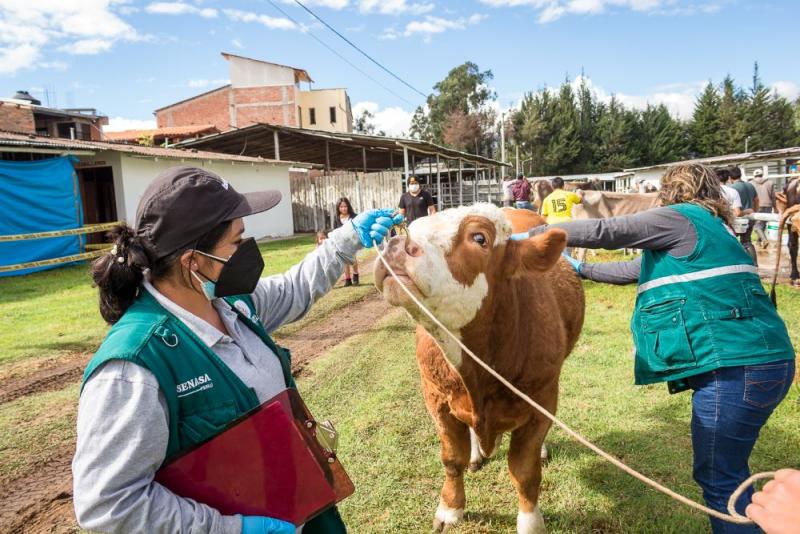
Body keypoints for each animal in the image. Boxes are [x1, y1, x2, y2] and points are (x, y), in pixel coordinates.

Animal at [372, 206, 584, 534]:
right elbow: (451, 459)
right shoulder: (436, 398)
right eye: (414, 226)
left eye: (479, 238)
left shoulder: (543, 398)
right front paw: (450, 508)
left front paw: (530, 521)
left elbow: (525, 470)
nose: (394, 245)